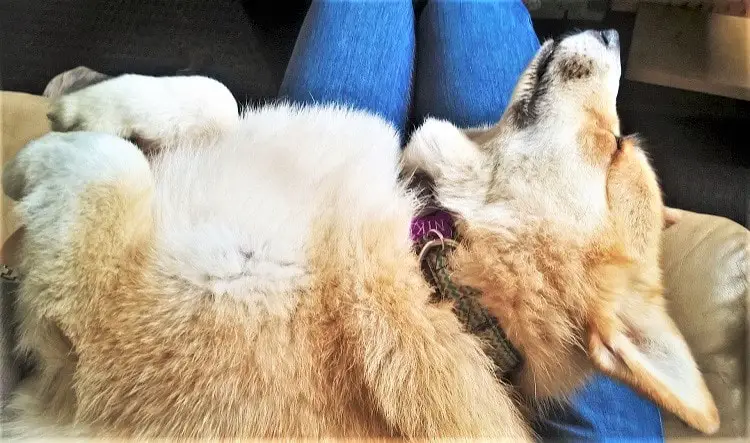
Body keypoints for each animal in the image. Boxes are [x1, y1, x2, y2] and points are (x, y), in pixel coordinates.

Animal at [0, 29, 720, 438]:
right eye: (621, 145)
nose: (611, 29)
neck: (445, 276)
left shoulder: (115, 332)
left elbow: (107, 165)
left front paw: (38, 160)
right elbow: (215, 98)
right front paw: (89, 102)